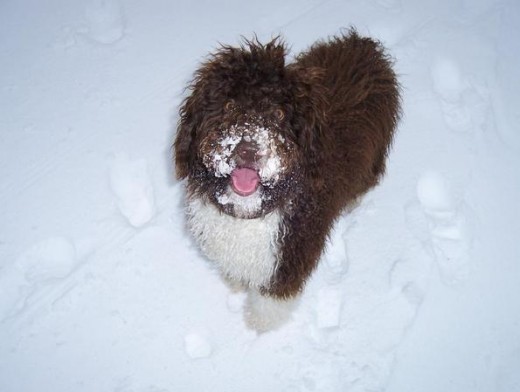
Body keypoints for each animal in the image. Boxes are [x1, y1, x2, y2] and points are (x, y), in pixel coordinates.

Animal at [175, 29, 402, 330]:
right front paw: (236, 283)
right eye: (229, 105)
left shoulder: (290, 254)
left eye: (279, 114)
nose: (248, 149)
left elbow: (272, 299)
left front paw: (259, 325)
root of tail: (365, 44)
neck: (252, 209)